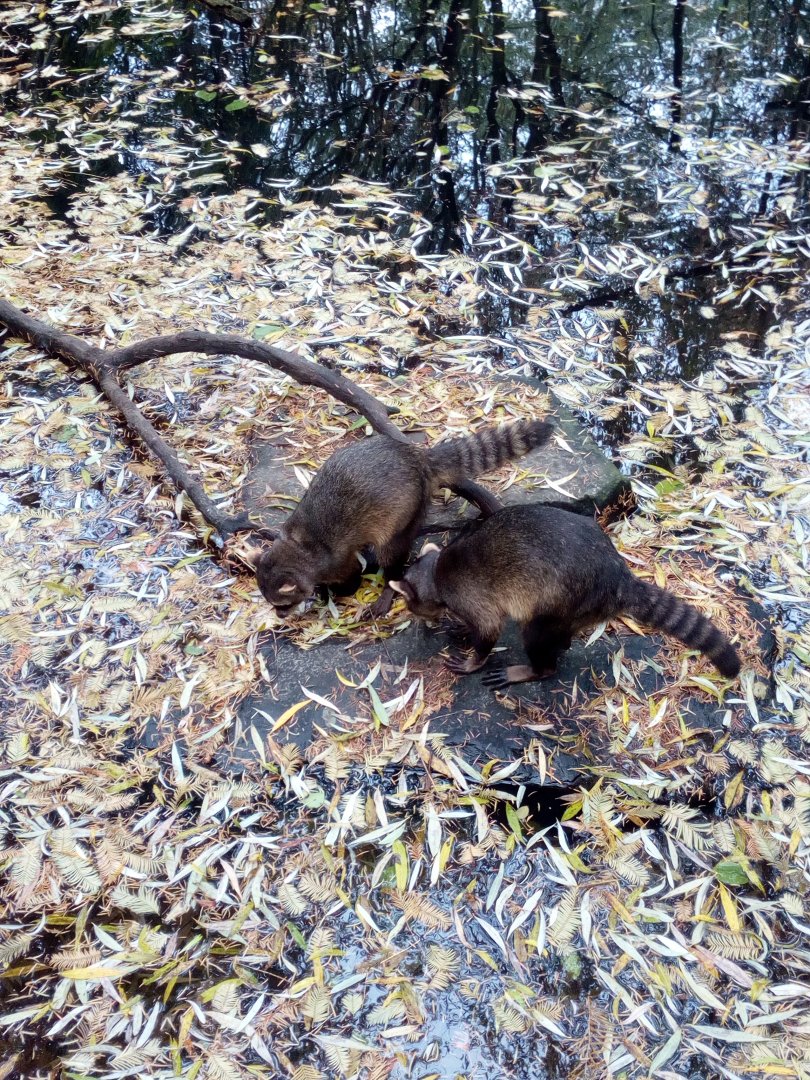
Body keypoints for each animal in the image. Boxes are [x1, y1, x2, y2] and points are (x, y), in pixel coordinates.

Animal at [254, 420, 554, 617]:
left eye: (282, 605)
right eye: (273, 605)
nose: (280, 617)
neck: (296, 547)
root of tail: (418, 456)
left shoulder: (336, 559)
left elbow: (350, 574)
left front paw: (336, 591)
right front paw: (322, 591)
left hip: (405, 512)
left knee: (392, 555)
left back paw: (388, 587)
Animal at [390, 503, 741, 684]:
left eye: (409, 604)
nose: (421, 622)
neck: (435, 571)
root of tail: (618, 575)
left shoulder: (468, 593)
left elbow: (490, 627)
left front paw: (475, 658)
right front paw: (462, 629)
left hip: (564, 600)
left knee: (534, 635)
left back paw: (536, 669)